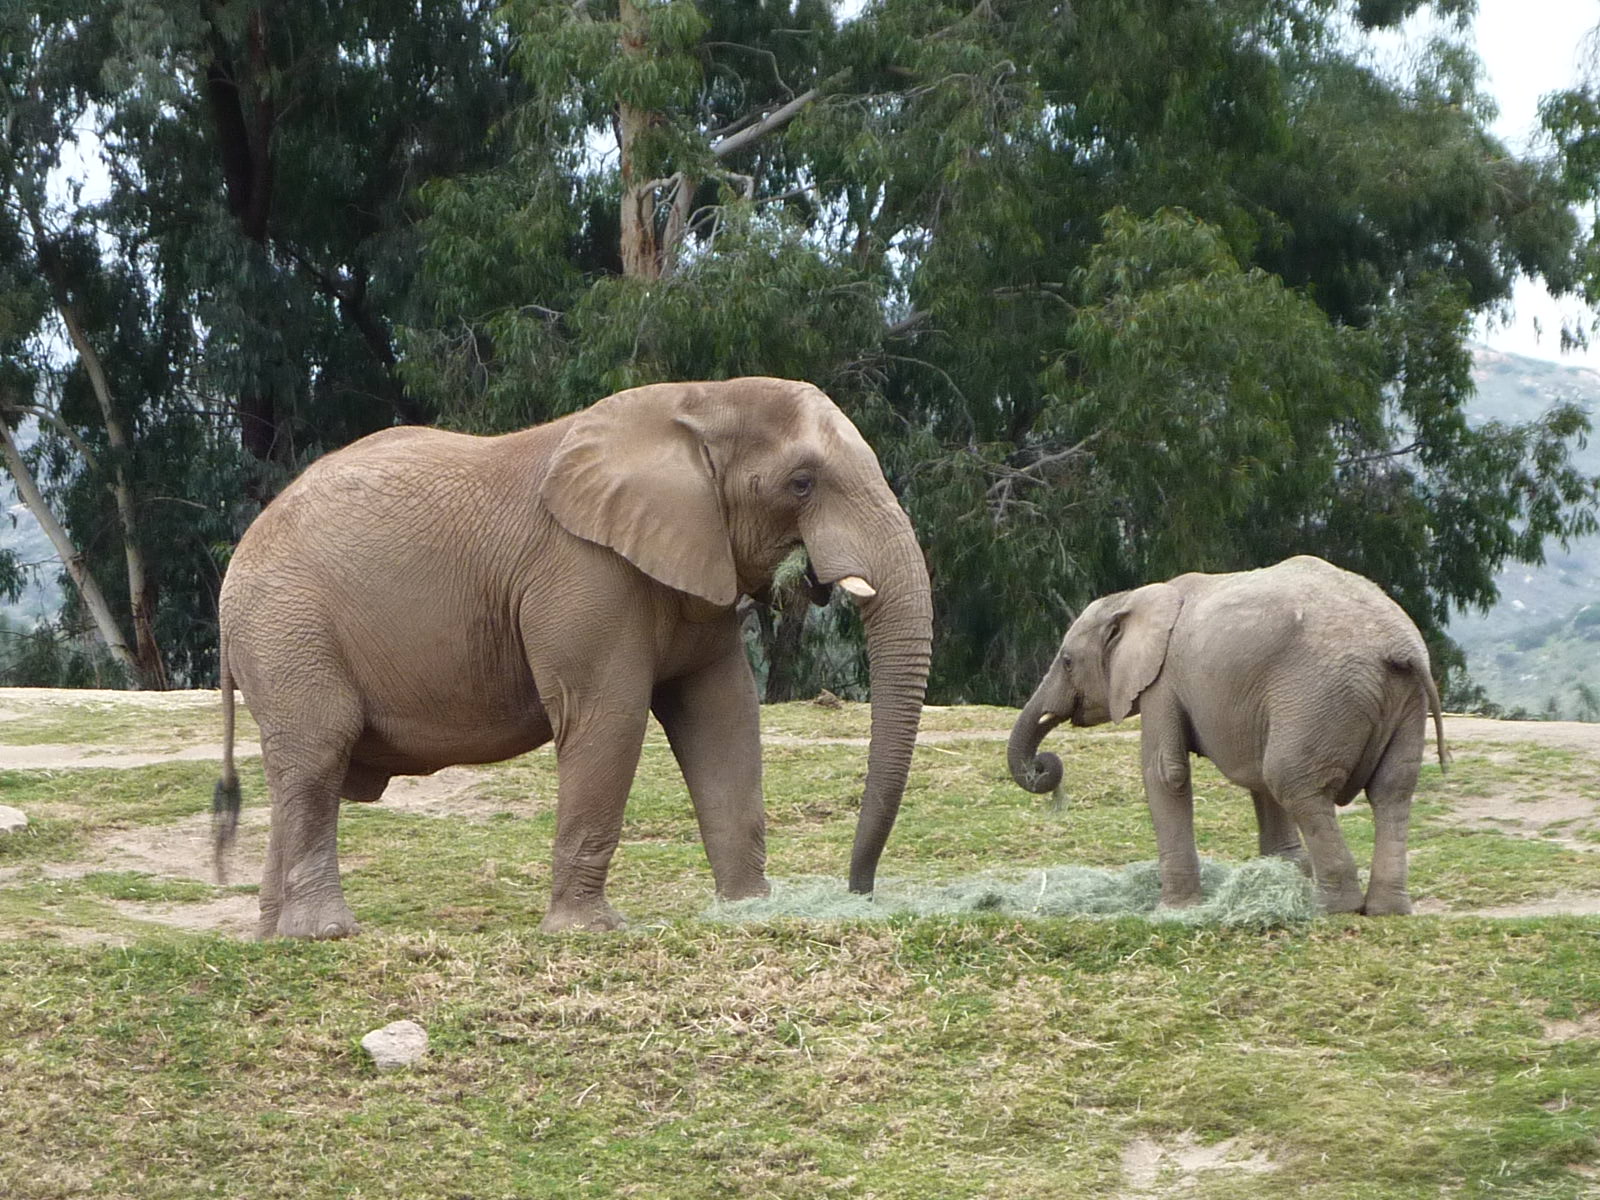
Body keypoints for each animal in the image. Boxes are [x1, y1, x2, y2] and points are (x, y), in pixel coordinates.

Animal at [212, 377, 932, 938]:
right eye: (802, 483)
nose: (858, 890)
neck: (699, 400)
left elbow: (723, 716)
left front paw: (748, 910)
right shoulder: (582, 571)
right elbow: (608, 717)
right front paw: (590, 931)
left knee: (303, 771)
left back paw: (275, 938)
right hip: (287, 627)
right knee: (319, 754)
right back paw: (326, 933)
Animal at [1007, 556, 1446, 915]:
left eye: (1066, 661)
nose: (1043, 765)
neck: (1135, 597)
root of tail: (1399, 646)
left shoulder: (1162, 681)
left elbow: (1165, 771)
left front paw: (1173, 910)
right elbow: (1256, 778)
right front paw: (1280, 875)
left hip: (1323, 693)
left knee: (1296, 783)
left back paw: (1334, 908)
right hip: (1404, 701)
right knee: (1391, 790)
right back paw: (1387, 909)